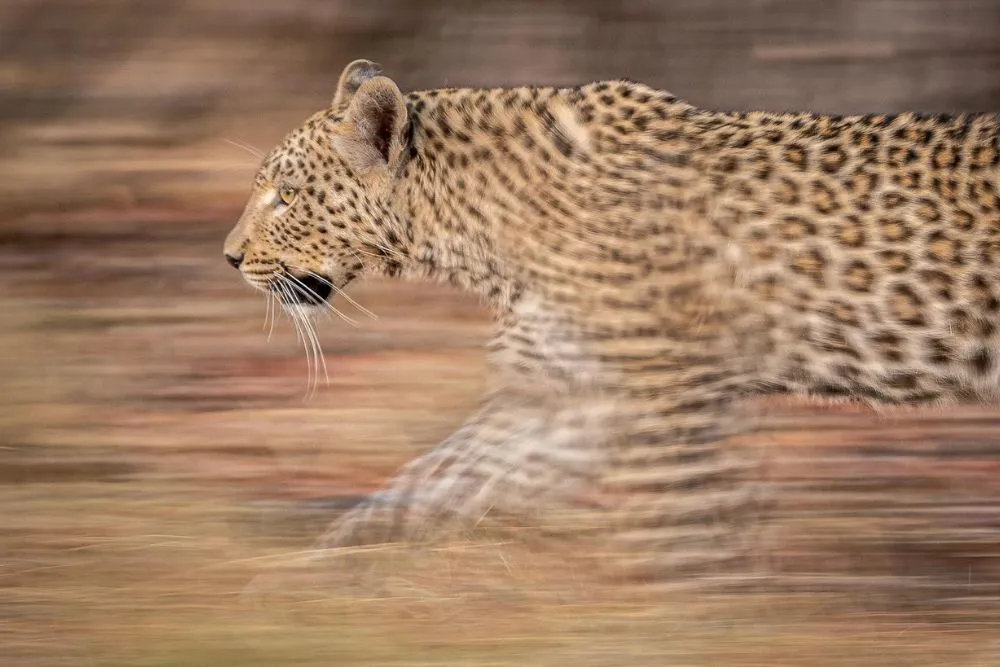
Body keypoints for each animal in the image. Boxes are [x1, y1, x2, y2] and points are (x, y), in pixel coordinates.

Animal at [223, 57, 1000, 588]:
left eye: (284, 195)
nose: (229, 257)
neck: (471, 231)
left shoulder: (666, 394)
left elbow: (683, 538)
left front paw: (702, 630)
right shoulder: (570, 395)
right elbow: (432, 483)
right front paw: (309, 579)